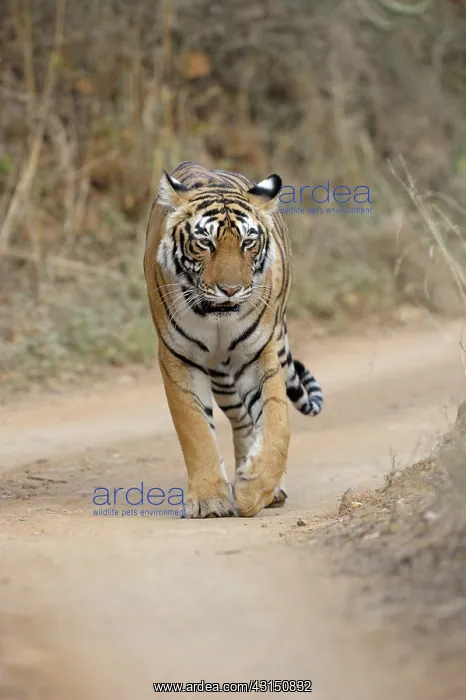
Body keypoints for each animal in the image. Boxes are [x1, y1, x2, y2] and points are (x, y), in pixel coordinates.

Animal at [143, 161, 323, 518]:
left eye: (247, 243)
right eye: (205, 243)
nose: (230, 289)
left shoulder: (258, 354)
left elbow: (277, 422)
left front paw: (254, 490)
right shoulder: (178, 358)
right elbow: (196, 431)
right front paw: (209, 500)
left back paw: (267, 487)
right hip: (221, 376)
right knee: (240, 420)